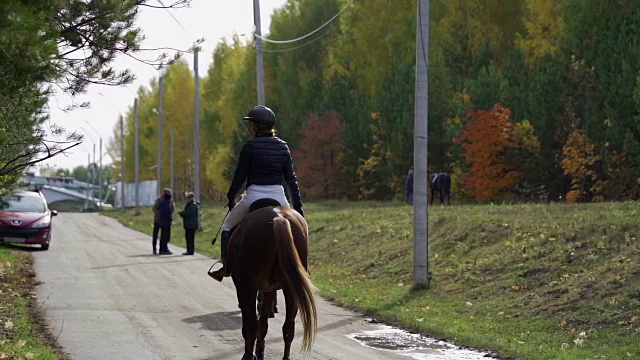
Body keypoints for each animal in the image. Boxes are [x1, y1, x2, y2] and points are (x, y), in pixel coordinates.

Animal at [230, 204, 320, 358]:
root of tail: (278, 217)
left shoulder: (242, 285)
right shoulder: (269, 289)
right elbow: (263, 323)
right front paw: (260, 352)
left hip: (249, 286)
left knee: (251, 325)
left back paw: (248, 356)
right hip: (291, 288)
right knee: (288, 328)